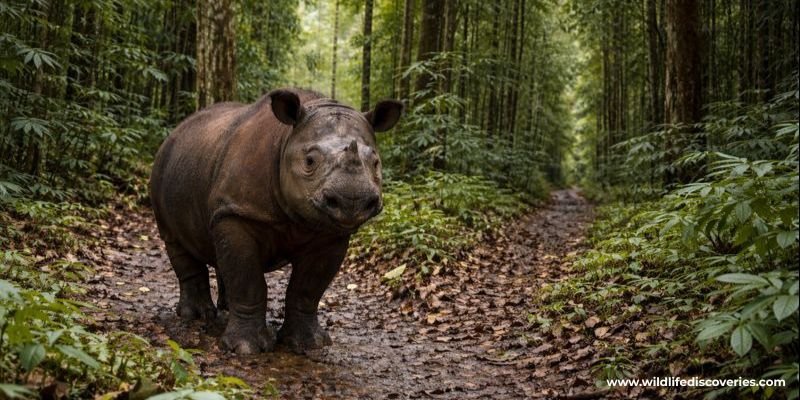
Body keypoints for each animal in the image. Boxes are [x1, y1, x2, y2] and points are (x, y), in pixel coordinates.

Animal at [149, 89, 402, 354]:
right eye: (309, 161)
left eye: (376, 162)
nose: (351, 200)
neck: (285, 139)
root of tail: (176, 131)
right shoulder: (238, 212)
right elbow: (247, 279)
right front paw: (245, 348)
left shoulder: (331, 233)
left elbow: (307, 289)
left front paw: (309, 343)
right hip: (163, 169)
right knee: (176, 241)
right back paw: (196, 316)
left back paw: (224, 308)